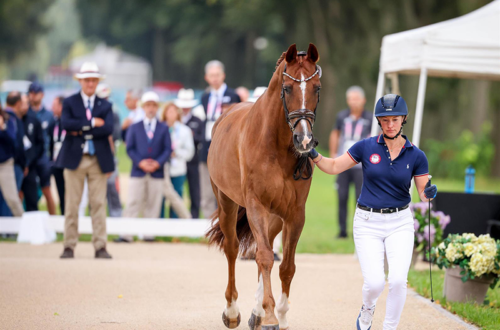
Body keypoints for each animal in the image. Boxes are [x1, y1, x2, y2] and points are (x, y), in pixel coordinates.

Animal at [206, 43, 320, 330]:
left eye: (317, 87)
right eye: (287, 88)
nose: (304, 140)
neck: (276, 145)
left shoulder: (294, 214)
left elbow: (286, 265)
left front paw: (279, 314)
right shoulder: (256, 205)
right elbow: (266, 257)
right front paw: (269, 317)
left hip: (274, 217)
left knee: (263, 247)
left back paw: (256, 312)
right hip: (227, 203)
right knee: (234, 248)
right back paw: (232, 312)